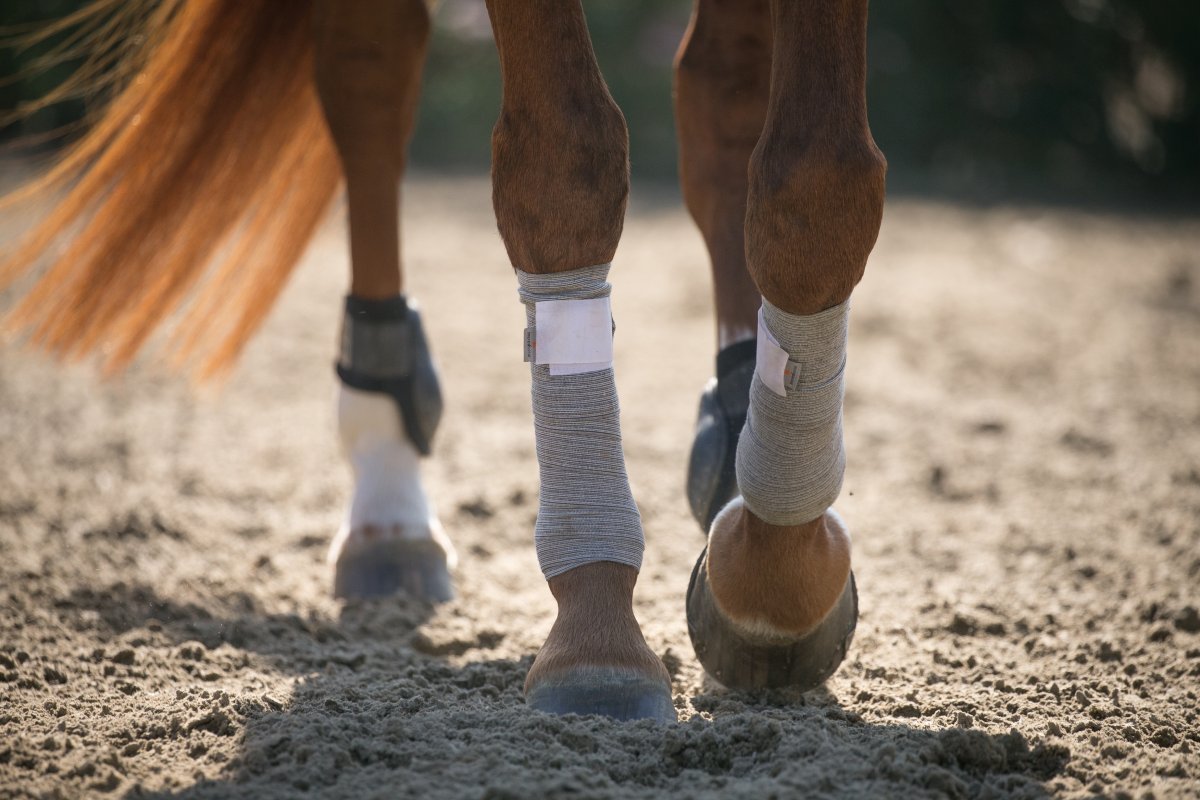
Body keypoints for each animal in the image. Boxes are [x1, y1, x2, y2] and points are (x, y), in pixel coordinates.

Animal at [1, 0, 886, 724]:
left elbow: (817, 179)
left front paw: (772, 581)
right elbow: (564, 157)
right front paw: (598, 632)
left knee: (721, 87)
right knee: (369, 70)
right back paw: (387, 504)